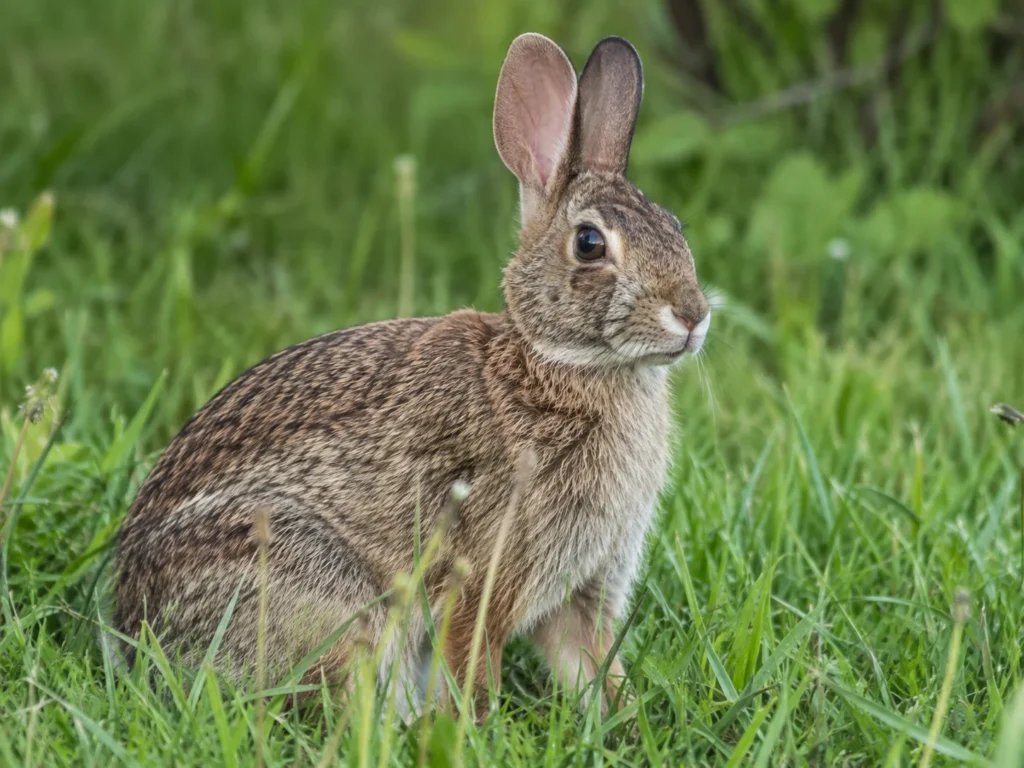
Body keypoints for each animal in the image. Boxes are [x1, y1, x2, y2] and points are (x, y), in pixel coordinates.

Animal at [114, 32, 710, 719]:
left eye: (675, 226)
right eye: (589, 244)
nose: (693, 315)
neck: (557, 363)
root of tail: (131, 627)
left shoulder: (581, 589)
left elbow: (593, 670)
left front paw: (623, 721)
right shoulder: (483, 574)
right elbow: (474, 663)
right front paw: (478, 729)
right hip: (316, 586)